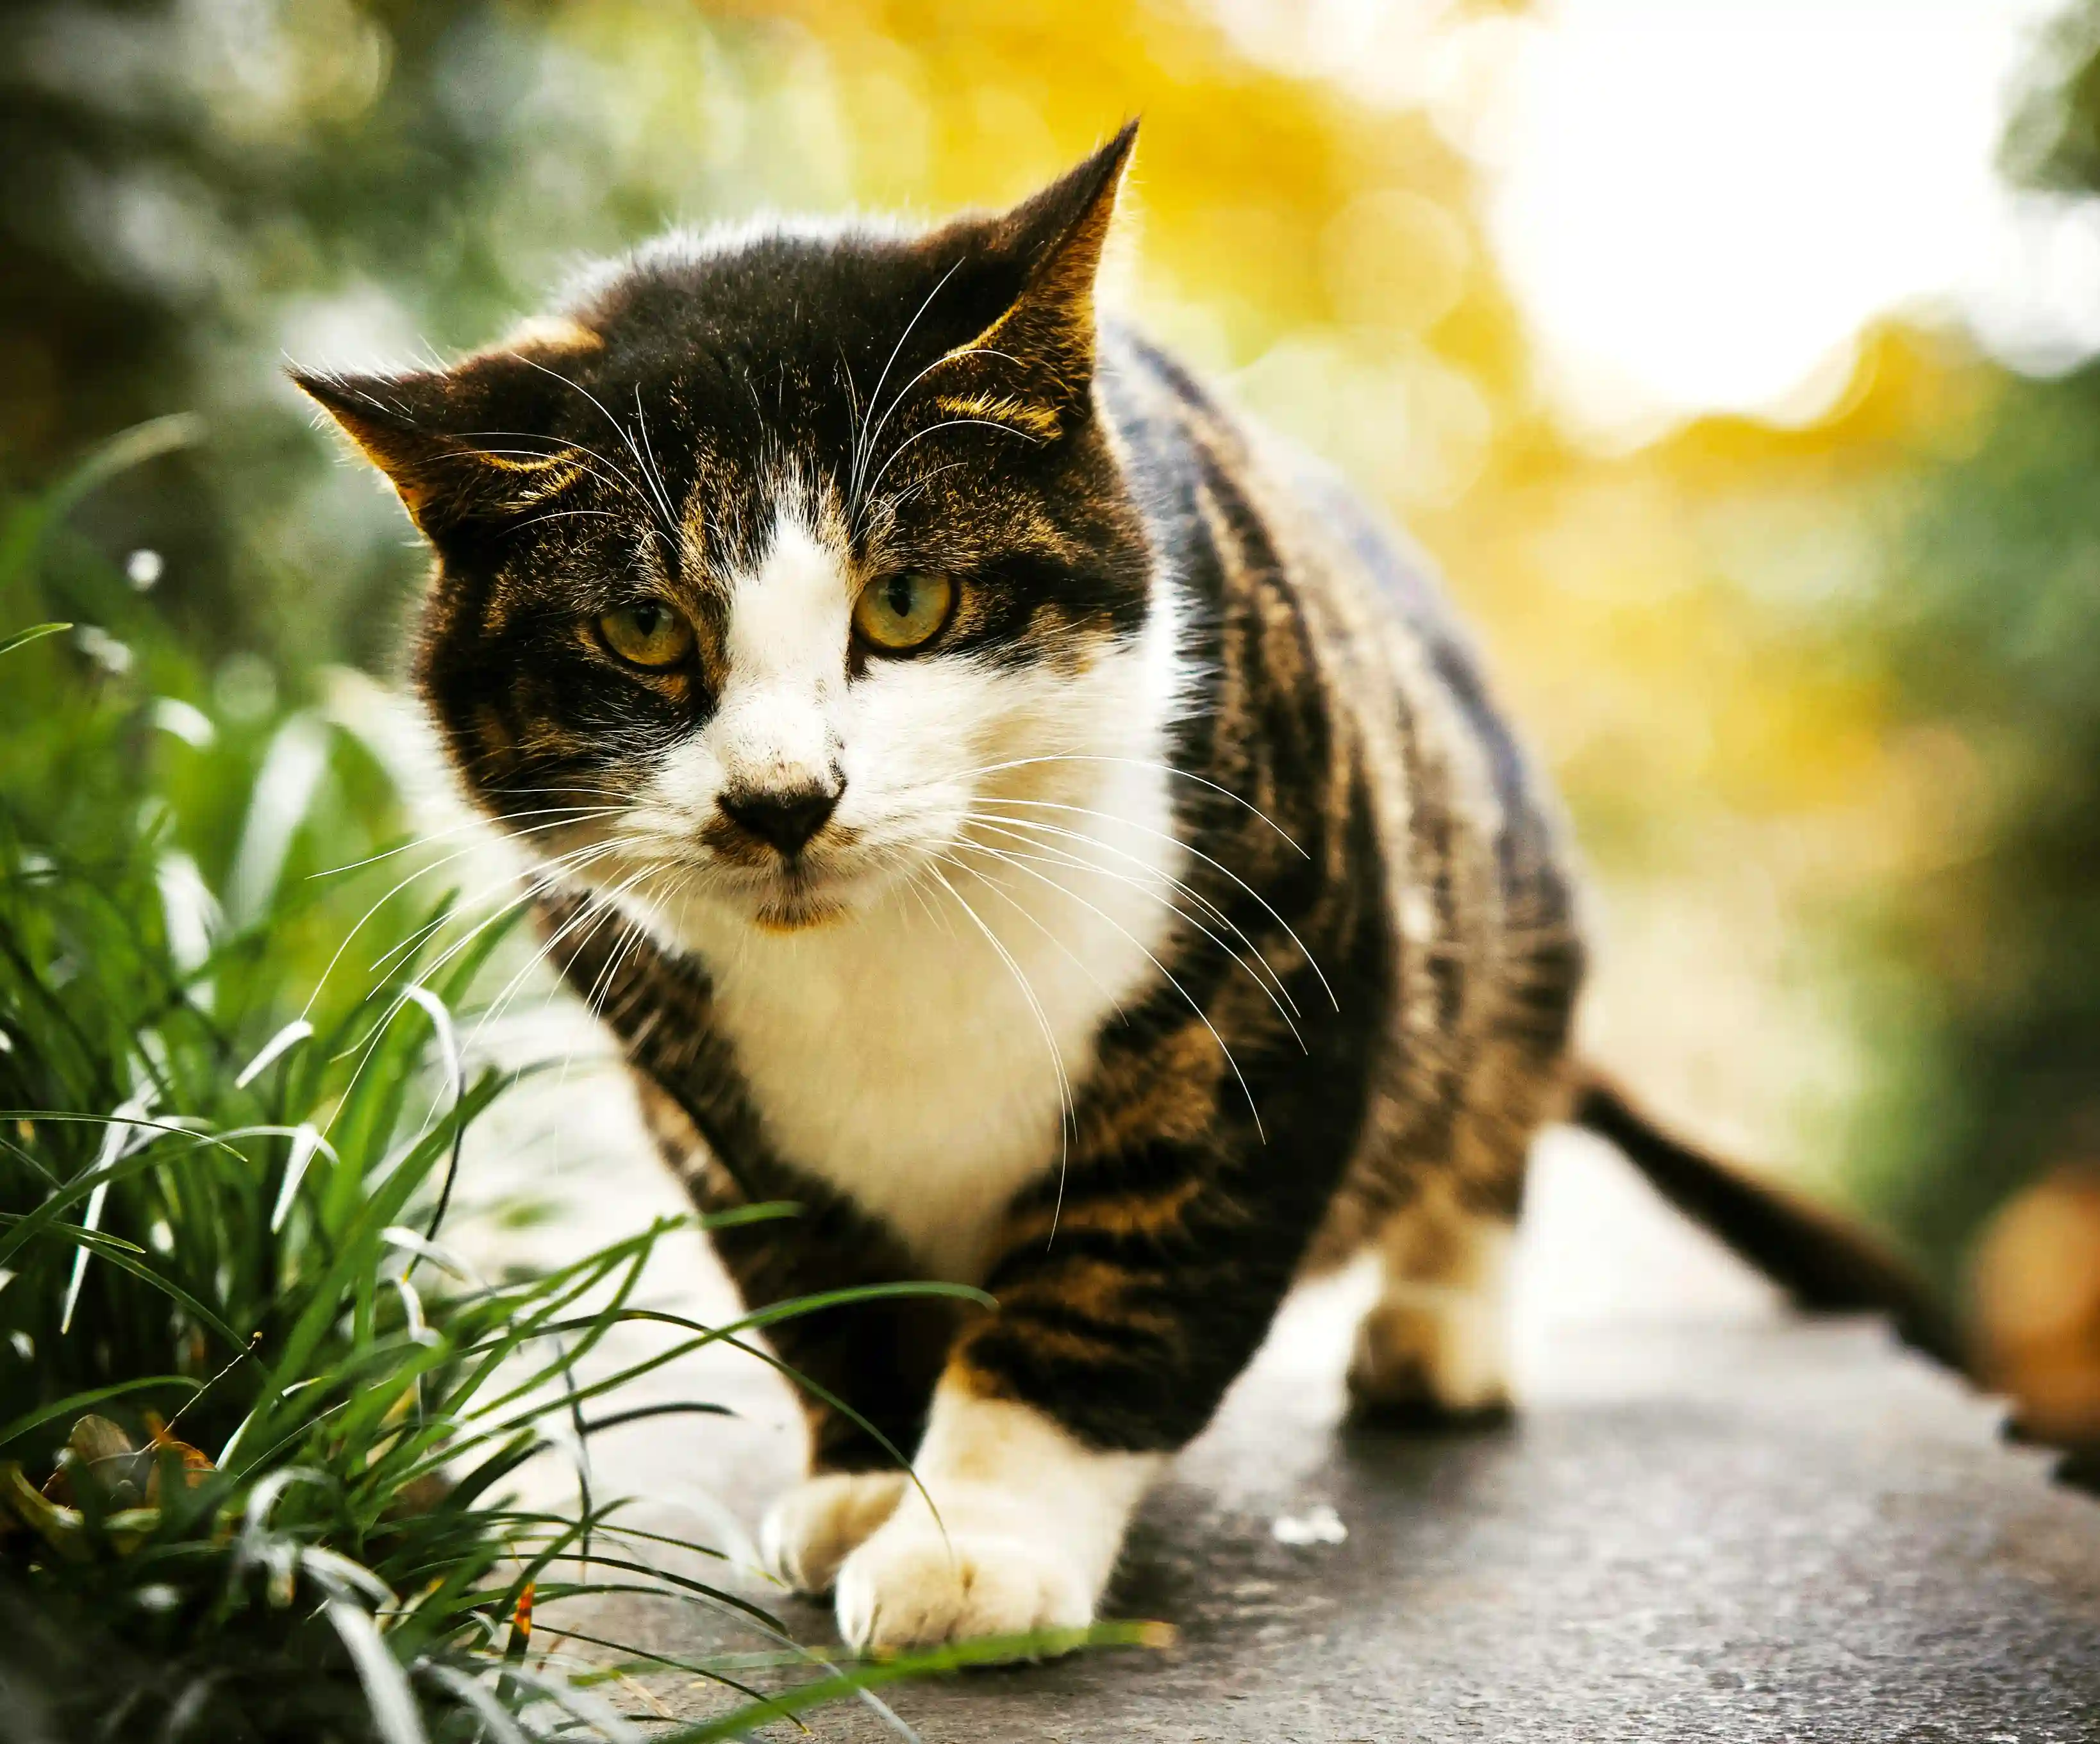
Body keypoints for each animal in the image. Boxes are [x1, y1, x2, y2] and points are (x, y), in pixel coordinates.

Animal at [300, 122, 1949, 1654]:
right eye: (644, 629)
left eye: (908, 601)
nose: (783, 799)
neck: (888, 959)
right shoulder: (693, 1087)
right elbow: (818, 1282)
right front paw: (862, 1479)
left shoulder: (1271, 971)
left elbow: (1106, 1294)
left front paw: (973, 1542)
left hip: (1491, 878)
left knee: (1494, 1101)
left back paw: (1438, 1328)